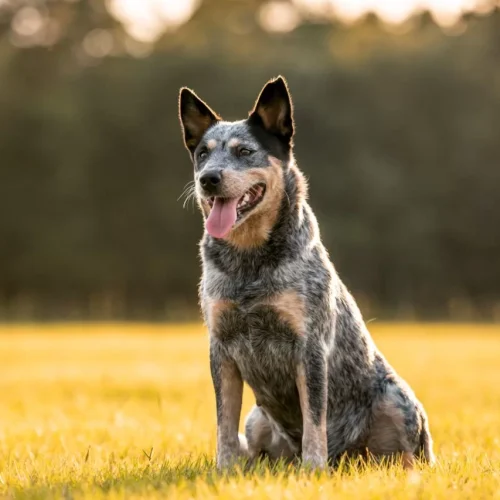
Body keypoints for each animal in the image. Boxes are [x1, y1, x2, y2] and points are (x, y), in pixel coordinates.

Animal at [177, 76, 434, 470]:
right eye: (203, 153)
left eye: (245, 151)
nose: (208, 179)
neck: (249, 263)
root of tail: (346, 458)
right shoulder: (220, 348)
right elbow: (224, 421)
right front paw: (224, 469)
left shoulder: (309, 345)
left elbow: (314, 417)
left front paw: (313, 469)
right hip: (257, 419)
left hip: (398, 400)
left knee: (407, 454)